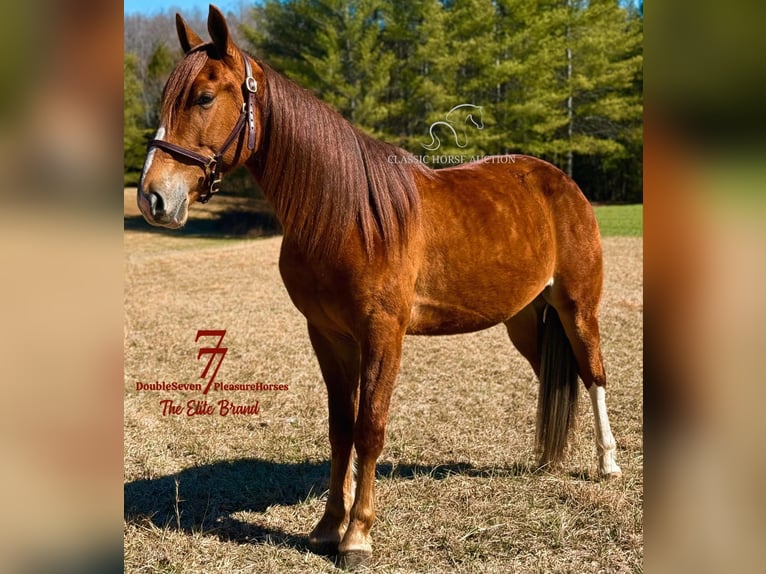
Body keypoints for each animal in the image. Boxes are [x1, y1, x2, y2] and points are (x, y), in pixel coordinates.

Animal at [138, 5, 624, 572]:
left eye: (205, 97)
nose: (153, 198)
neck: (344, 215)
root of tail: (561, 183)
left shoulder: (383, 334)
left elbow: (370, 428)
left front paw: (357, 536)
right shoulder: (327, 335)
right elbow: (340, 429)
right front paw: (327, 526)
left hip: (577, 307)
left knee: (592, 373)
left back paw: (607, 464)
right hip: (523, 320)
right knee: (551, 375)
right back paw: (548, 459)